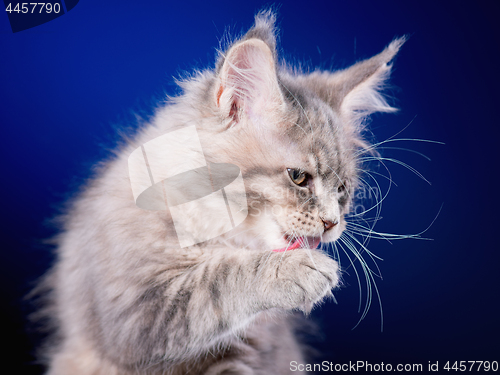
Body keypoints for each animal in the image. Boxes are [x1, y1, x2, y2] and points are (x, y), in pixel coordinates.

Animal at [41, 11, 404, 375]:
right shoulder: (135, 311)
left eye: (342, 190)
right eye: (299, 177)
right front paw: (298, 269)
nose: (331, 223)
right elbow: (220, 278)